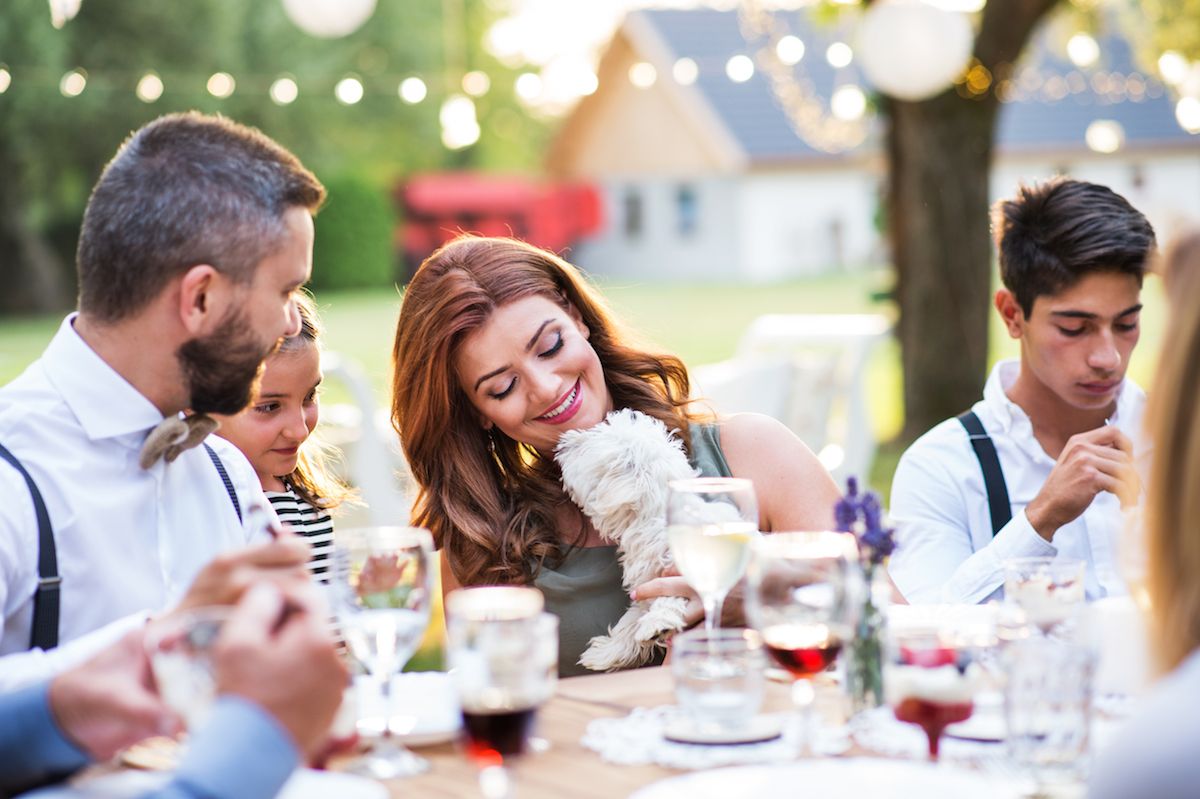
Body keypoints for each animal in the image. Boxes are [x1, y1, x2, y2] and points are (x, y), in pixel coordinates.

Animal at [556, 407, 700, 667]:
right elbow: (630, 621)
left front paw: (657, 623)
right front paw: (605, 653)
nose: (566, 440)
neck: (655, 520)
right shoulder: (645, 586)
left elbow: (672, 594)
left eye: (585, 448)